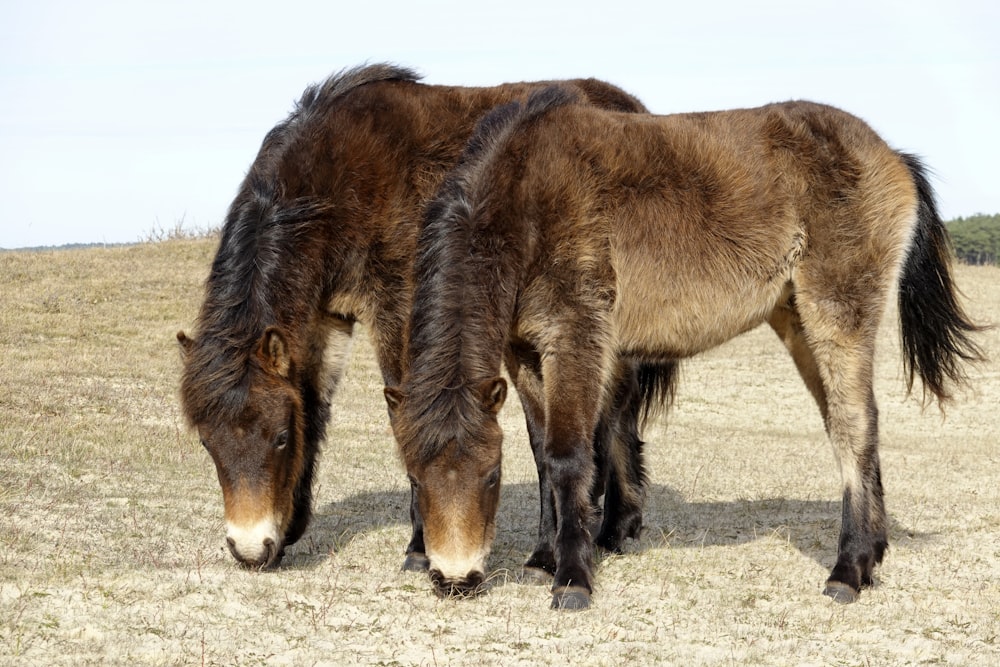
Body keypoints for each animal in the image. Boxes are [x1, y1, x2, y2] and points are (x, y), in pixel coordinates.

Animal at [177, 64, 672, 576]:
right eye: (208, 445)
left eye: (278, 438)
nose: (251, 550)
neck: (336, 178)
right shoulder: (325, 318)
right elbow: (314, 407)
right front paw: (293, 526)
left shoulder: (394, 307)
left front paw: (417, 547)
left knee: (613, 418)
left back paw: (611, 528)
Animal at [384, 87, 984, 612]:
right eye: (416, 476)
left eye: (490, 477)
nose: (454, 578)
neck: (524, 195)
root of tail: (891, 154)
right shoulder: (524, 353)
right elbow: (540, 452)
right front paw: (541, 558)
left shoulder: (576, 336)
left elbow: (568, 454)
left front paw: (572, 580)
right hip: (798, 322)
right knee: (854, 422)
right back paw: (873, 555)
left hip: (837, 312)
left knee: (852, 426)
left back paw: (848, 571)